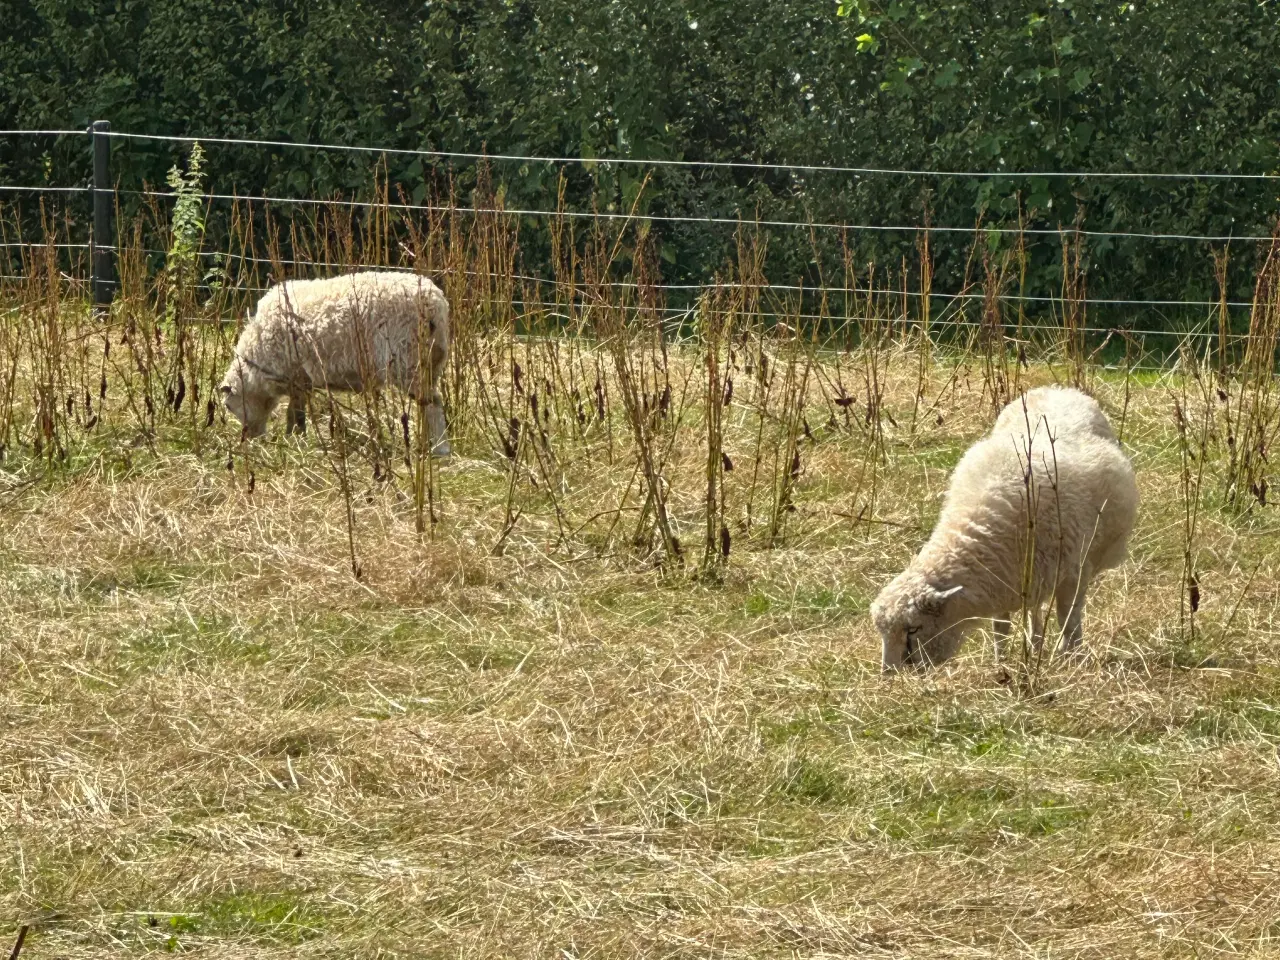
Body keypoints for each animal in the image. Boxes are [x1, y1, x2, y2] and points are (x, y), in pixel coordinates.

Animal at [222, 268, 453, 453]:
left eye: (228, 407)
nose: (249, 439)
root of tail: (436, 303)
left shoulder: (296, 376)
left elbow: (295, 413)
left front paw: (294, 438)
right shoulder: (301, 381)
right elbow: (296, 411)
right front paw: (296, 438)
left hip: (409, 361)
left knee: (432, 404)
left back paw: (440, 449)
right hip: (431, 361)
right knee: (426, 404)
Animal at [870, 386, 1141, 670]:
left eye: (913, 629)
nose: (889, 674)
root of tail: (1057, 388)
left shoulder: (1073, 573)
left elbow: (1068, 620)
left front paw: (1070, 660)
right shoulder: (1003, 576)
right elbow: (1001, 626)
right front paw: (1001, 661)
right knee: (1034, 608)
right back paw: (1035, 643)